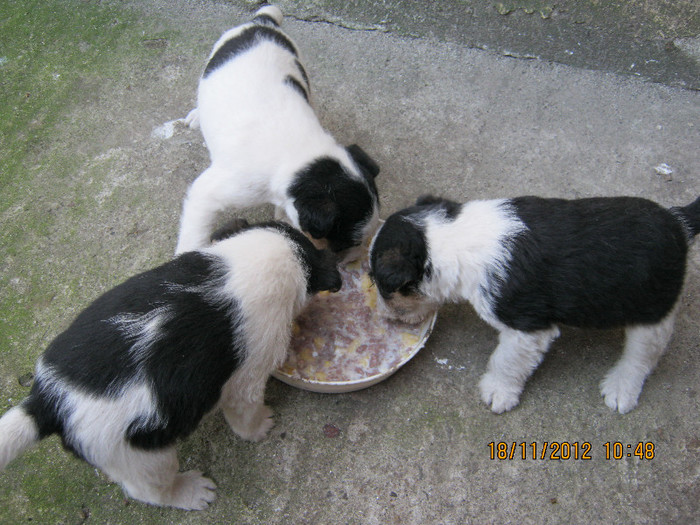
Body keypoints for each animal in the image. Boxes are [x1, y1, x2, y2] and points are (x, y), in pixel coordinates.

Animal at [0, 220, 342, 508]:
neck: (248, 261)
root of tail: (47, 402)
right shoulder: (247, 378)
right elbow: (245, 414)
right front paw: (260, 427)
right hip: (145, 456)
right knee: (150, 491)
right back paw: (190, 492)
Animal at [178, 6, 380, 262]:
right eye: (344, 242)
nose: (352, 260)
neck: (302, 152)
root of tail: (262, 22)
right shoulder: (207, 193)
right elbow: (193, 236)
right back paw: (197, 115)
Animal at [370, 192, 696, 414]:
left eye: (380, 284)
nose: (386, 318)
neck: (455, 237)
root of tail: (679, 222)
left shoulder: (526, 328)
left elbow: (505, 361)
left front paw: (498, 392)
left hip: (652, 311)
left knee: (641, 358)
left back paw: (620, 388)